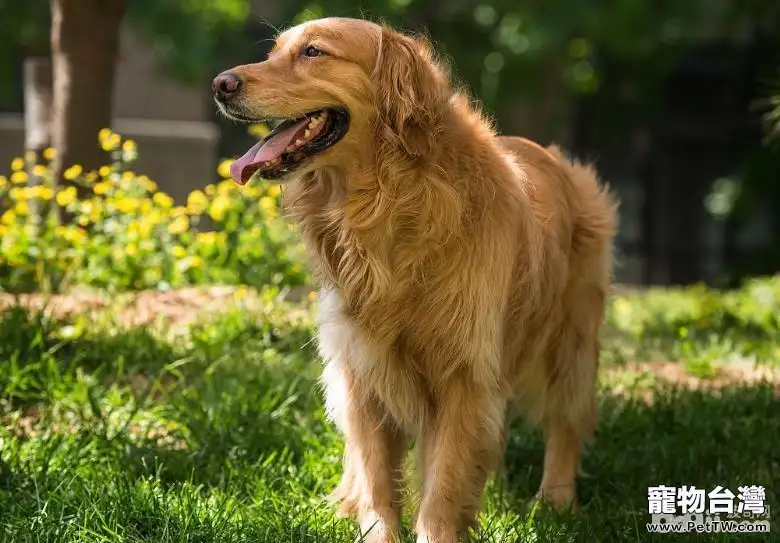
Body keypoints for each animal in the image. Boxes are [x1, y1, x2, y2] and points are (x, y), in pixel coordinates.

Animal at [212, 17, 616, 543]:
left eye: (314, 52)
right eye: (274, 51)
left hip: (571, 340)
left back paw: (557, 501)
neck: (387, 202)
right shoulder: (361, 367)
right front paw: (374, 528)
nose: (221, 84)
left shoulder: (465, 373)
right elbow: (378, 477)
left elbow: (443, 484)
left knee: (565, 421)